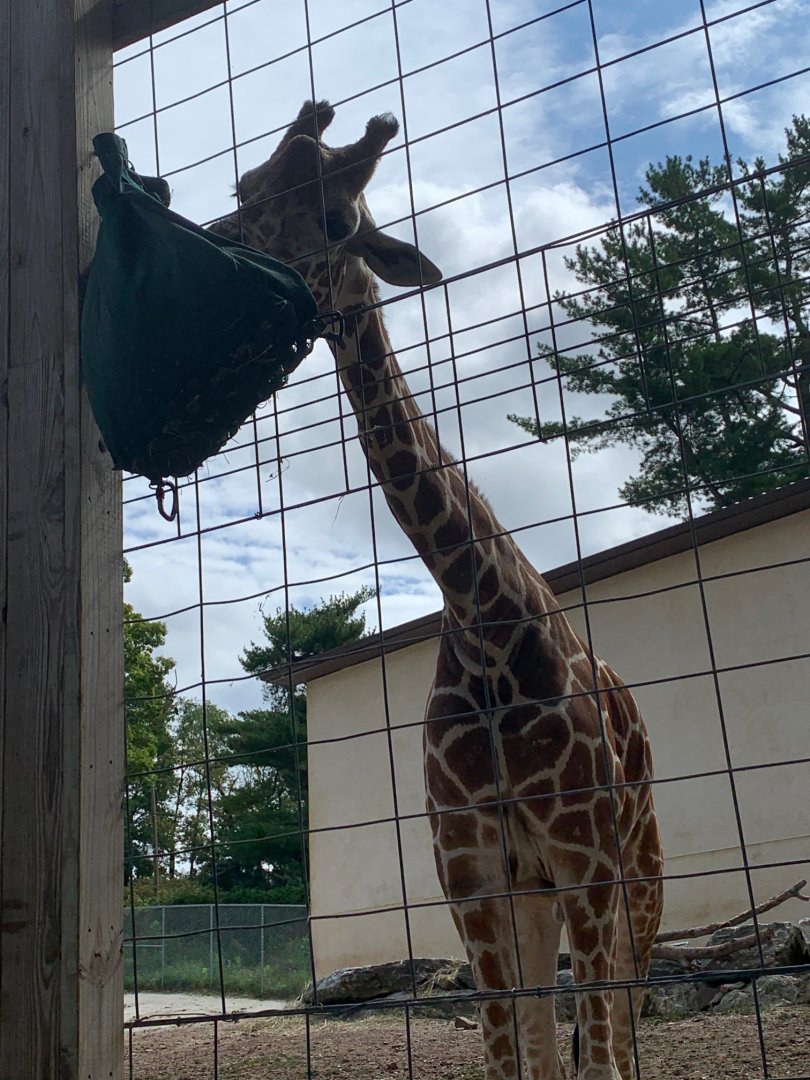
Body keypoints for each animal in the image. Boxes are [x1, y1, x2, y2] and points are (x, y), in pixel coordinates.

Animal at [211, 100, 664, 1080]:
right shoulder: (474, 871)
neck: (485, 622)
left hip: (639, 867)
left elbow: (597, 1053)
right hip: (541, 891)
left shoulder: (583, 855)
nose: (219, 240)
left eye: (336, 218)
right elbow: (512, 1055)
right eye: (250, 185)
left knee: (625, 1020)